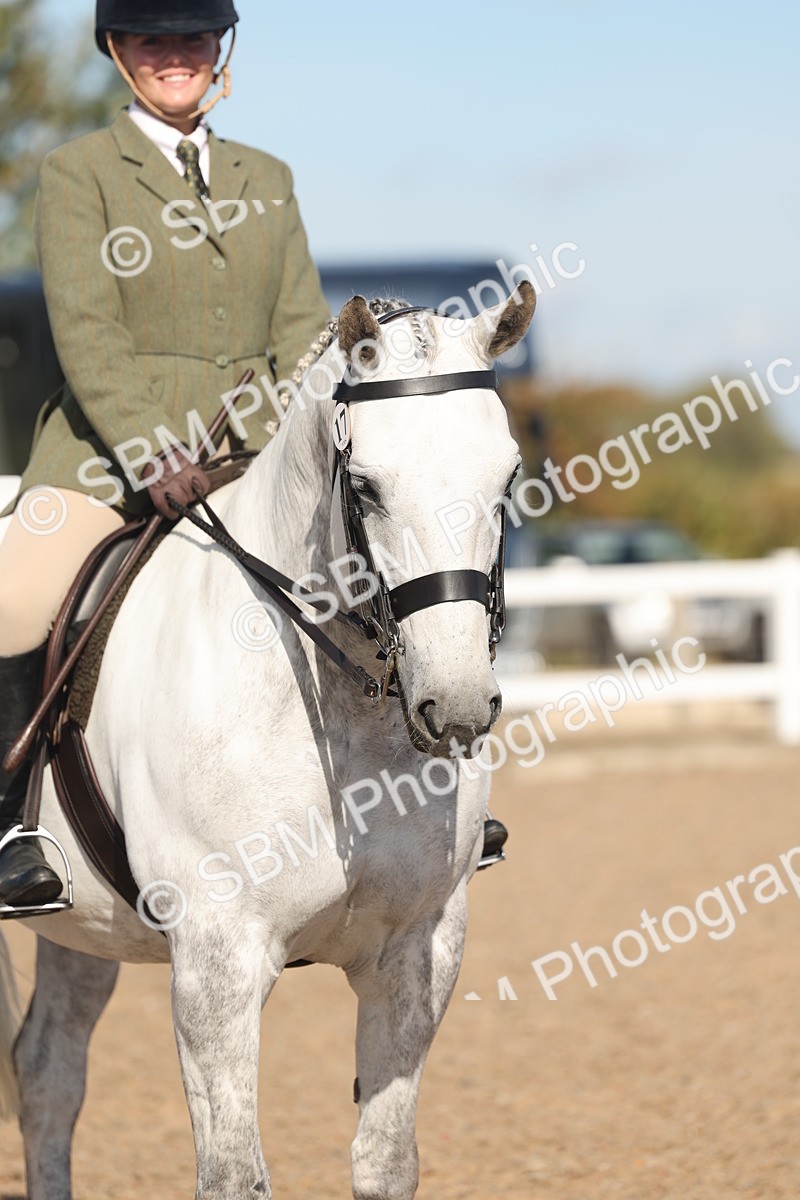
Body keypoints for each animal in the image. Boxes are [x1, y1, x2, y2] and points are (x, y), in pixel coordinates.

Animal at [0, 281, 535, 1200]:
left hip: (89, 925)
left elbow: (386, 1161)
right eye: (367, 486)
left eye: (505, 477)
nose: (460, 705)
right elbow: (234, 1175)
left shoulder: (418, 949)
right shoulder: (218, 962)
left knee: (47, 1071)